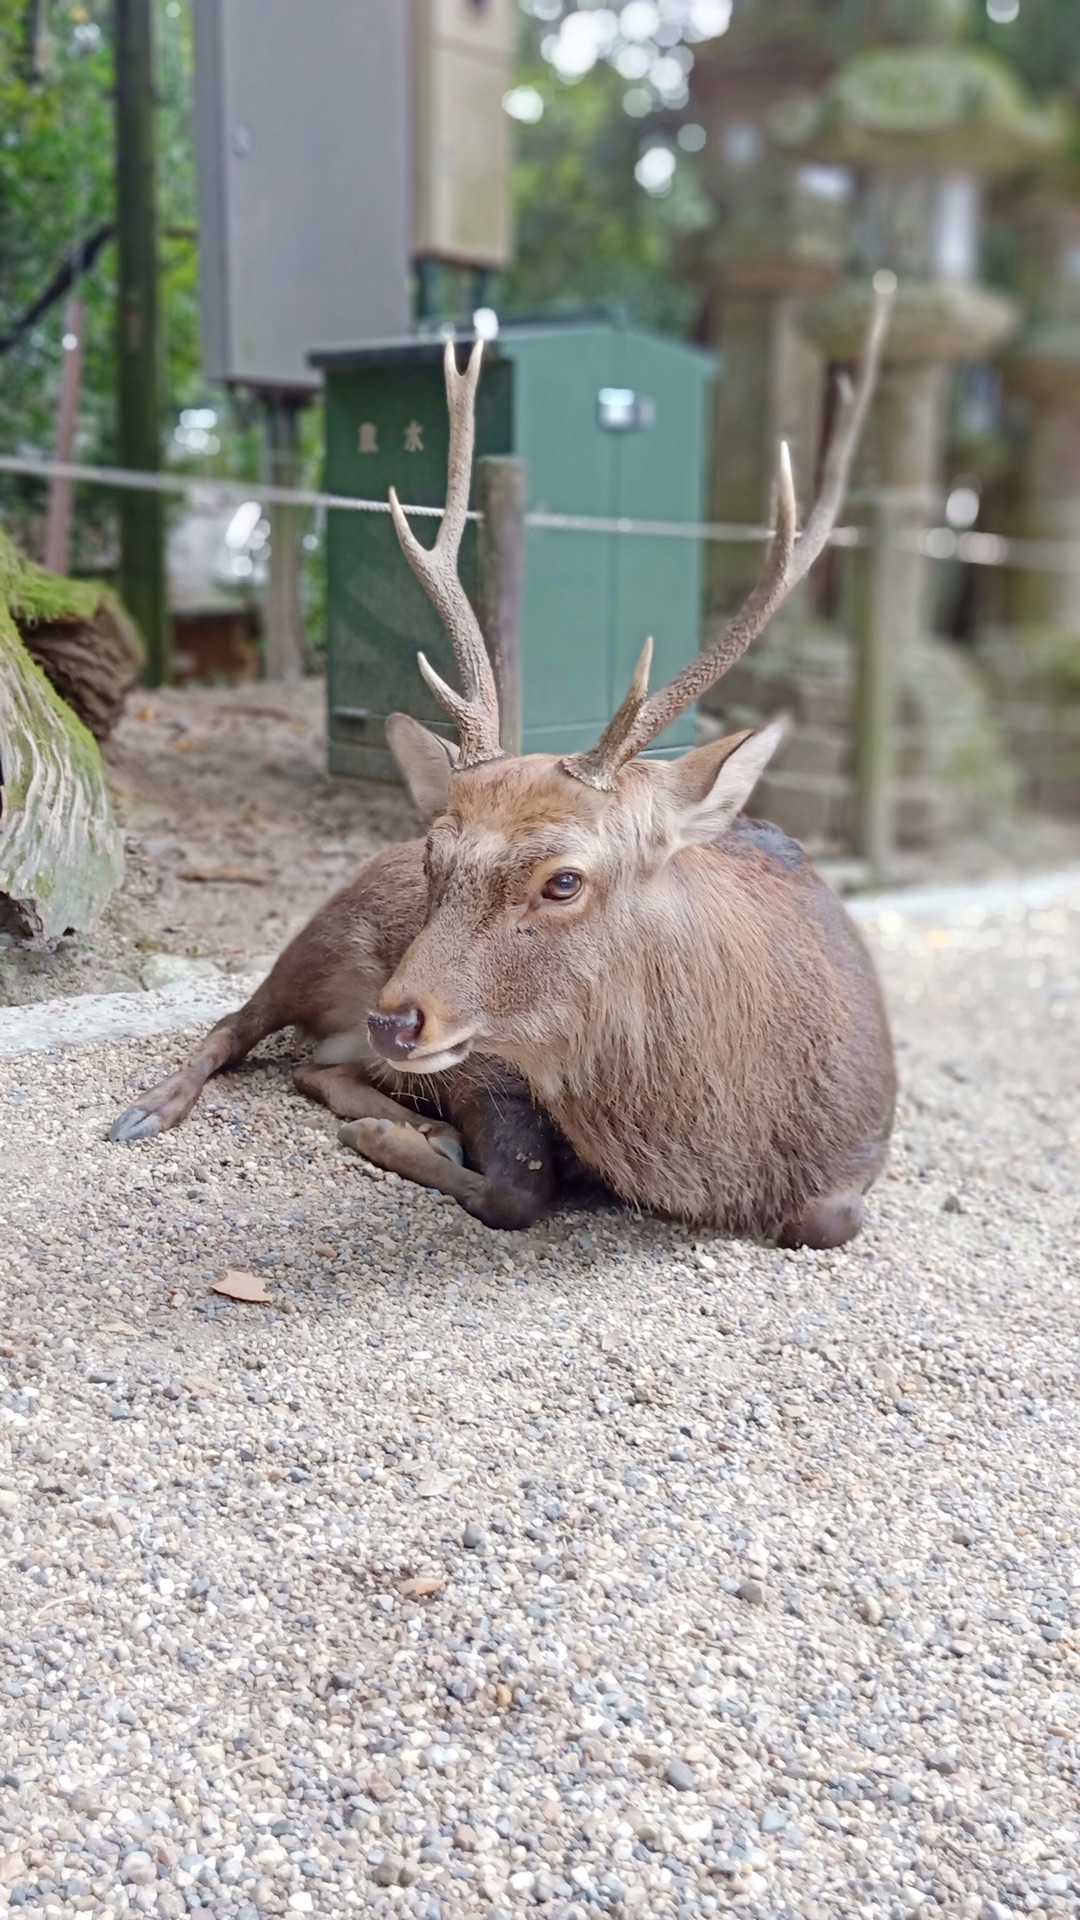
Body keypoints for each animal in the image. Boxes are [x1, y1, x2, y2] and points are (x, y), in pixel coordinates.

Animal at [113, 284, 895, 1244]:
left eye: (564, 880)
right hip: (319, 937)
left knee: (308, 1065)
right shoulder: (490, 1062)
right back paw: (154, 1109)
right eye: (433, 854)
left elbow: (824, 1217)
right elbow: (521, 1188)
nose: (394, 1019)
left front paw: (400, 1129)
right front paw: (398, 1138)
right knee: (236, 1023)